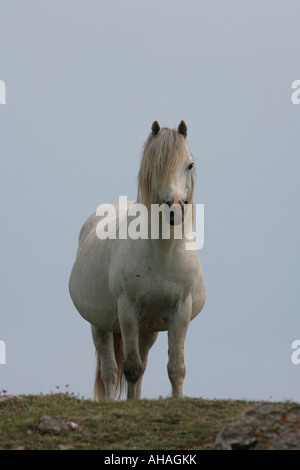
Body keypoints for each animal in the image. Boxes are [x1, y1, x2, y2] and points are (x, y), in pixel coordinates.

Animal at [69, 121, 207, 400]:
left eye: (189, 165)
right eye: (157, 166)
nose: (175, 209)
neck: (162, 252)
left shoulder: (180, 311)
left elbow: (176, 367)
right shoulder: (128, 311)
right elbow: (131, 368)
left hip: (149, 329)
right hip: (100, 326)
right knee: (110, 372)